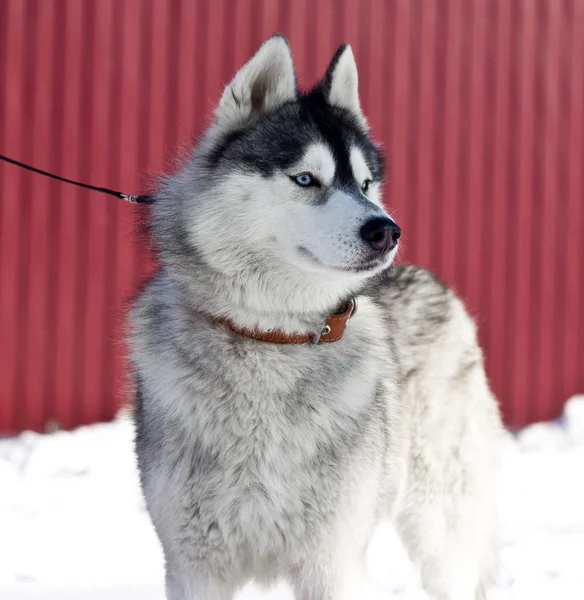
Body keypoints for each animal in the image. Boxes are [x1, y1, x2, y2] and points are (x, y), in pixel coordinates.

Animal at [130, 35, 504, 596]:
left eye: (366, 184)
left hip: (439, 526)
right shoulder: (194, 564)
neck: (271, 337)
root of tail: (436, 282)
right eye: (306, 178)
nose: (387, 230)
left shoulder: (333, 560)